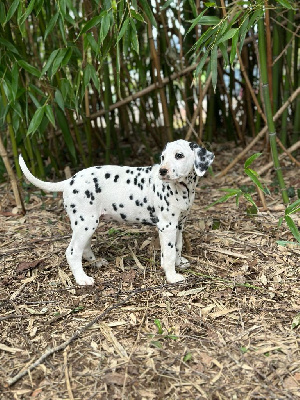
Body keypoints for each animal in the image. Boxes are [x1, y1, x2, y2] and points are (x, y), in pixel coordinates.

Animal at [18, 140, 213, 284]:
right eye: (163, 157)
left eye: (179, 155)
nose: (162, 171)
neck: (182, 188)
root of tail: (70, 180)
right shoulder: (167, 226)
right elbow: (170, 252)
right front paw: (172, 276)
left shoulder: (179, 223)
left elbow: (178, 246)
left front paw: (180, 263)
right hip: (86, 223)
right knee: (72, 252)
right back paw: (82, 279)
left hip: (87, 224)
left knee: (84, 248)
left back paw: (96, 262)